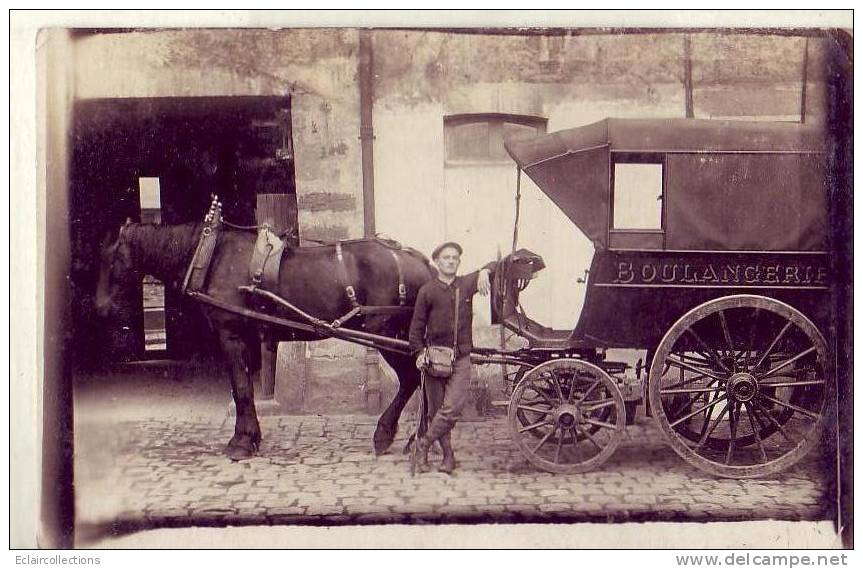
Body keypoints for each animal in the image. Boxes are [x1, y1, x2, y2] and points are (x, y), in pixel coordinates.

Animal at [94, 220, 438, 460]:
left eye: (111, 259)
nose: (100, 308)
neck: (210, 255)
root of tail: (422, 263)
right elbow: (244, 388)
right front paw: (251, 437)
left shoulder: (231, 336)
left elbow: (241, 389)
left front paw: (242, 442)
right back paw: (418, 438)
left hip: (386, 334)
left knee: (412, 378)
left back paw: (389, 435)